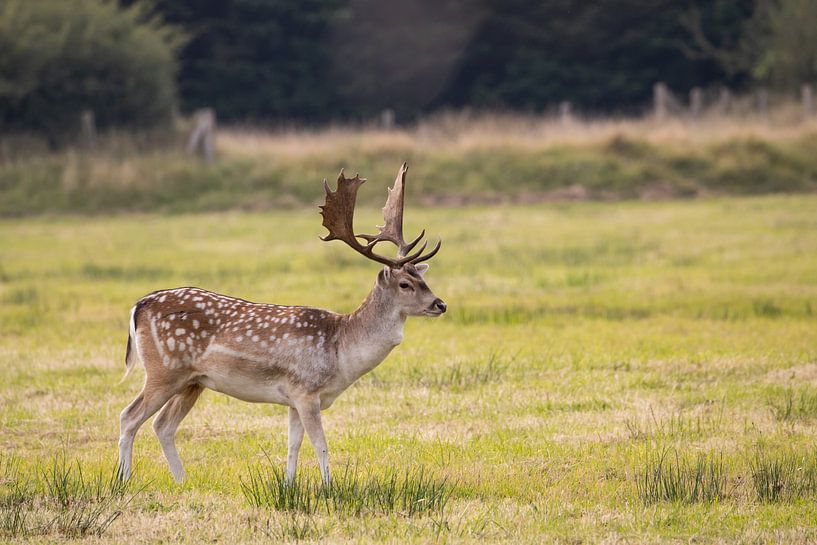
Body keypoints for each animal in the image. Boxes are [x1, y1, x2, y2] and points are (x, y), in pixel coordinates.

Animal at [117, 163, 446, 485]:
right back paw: (124, 481)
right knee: (129, 416)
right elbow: (320, 444)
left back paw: (183, 482)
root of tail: (139, 305)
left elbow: (293, 444)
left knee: (163, 425)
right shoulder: (305, 390)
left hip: (193, 381)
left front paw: (288, 486)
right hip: (164, 369)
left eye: (423, 279)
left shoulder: (292, 399)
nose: (440, 304)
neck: (340, 351)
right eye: (405, 284)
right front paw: (329, 488)